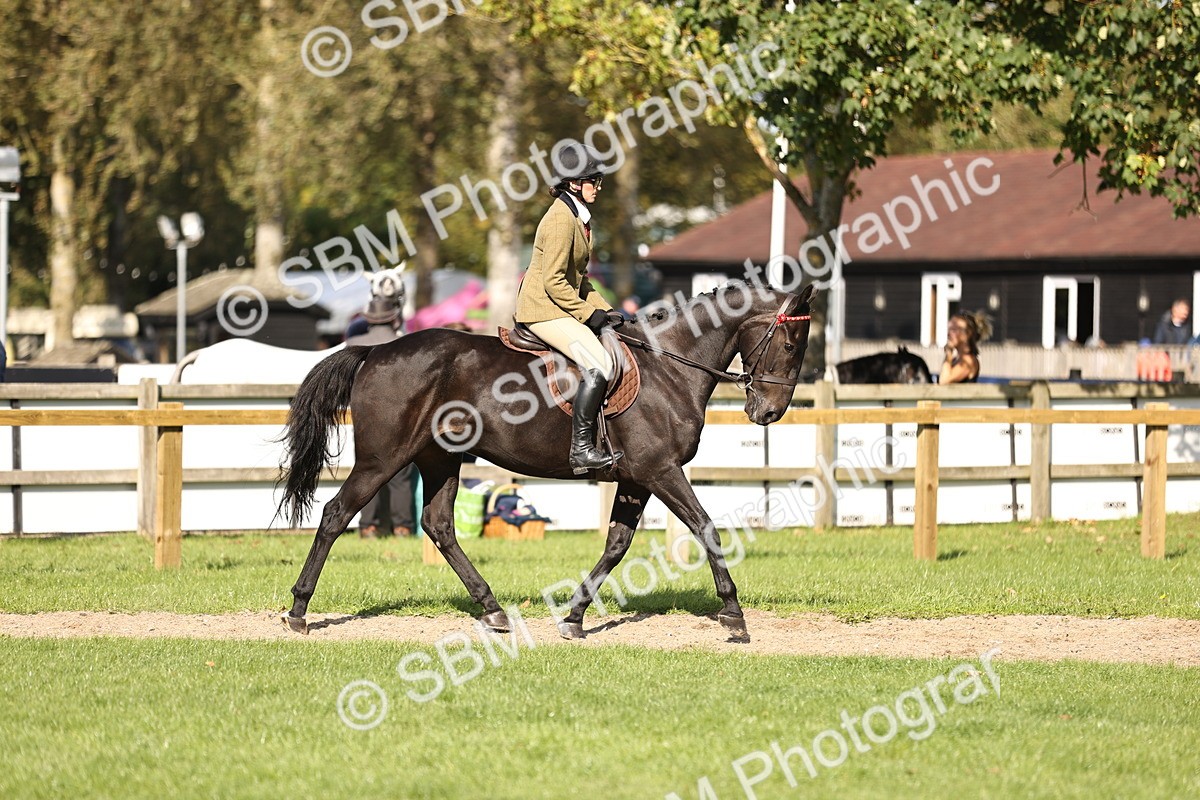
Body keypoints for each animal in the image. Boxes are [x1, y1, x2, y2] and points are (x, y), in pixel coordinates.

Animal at [276, 282, 816, 641]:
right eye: (791, 344)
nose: (768, 413)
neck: (670, 366)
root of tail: (377, 351)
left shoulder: (637, 478)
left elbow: (616, 546)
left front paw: (574, 616)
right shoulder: (660, 471)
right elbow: (706, 528)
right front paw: (734, 616)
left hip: (439, 459)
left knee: (439, 525)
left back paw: (492, 609)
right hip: (382, 459)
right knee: (336, 515)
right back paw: (299, 611)